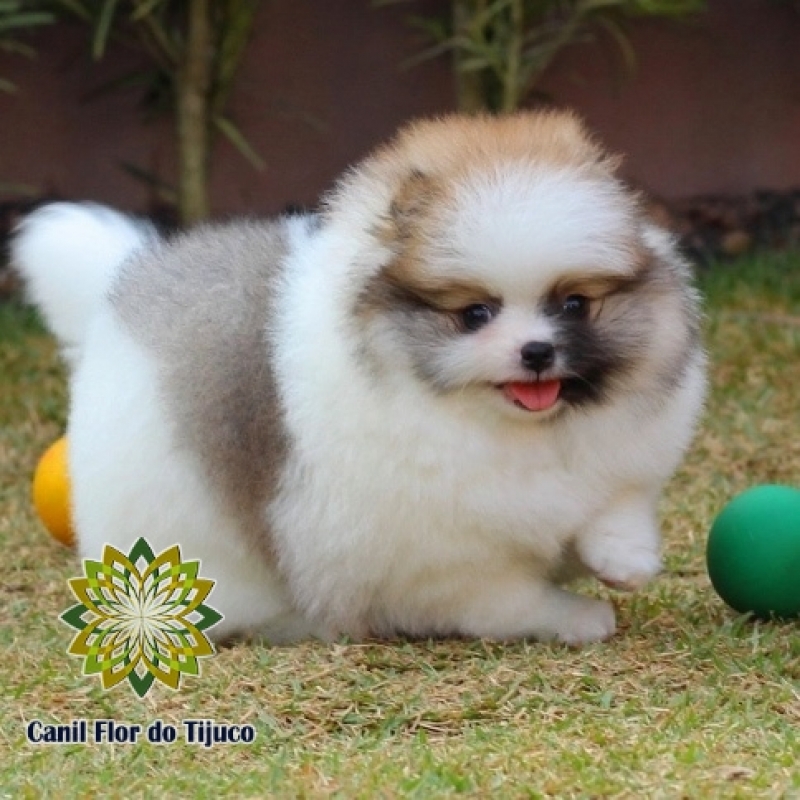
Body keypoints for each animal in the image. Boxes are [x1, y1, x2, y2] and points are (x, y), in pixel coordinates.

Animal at [14, 111, 708, 644]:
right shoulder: (451, 564)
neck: (503, 428)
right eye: (475, 315)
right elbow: (510, 601)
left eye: (573, 305)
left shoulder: (618, 459)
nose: (536, 352)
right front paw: (579, 617)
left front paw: (625, 559)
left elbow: (618, 500)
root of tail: (117, 296)